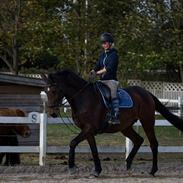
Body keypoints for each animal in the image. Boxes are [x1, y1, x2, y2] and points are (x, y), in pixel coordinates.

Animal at [42, 69, 183, 176]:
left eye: (54, 91)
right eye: (45, 91)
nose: (52, 112)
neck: (83, 98)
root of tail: (146, 93)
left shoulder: (89, 128)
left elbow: (72, 143)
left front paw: (71, 167)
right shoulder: (88, 131)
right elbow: (93, 149)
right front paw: (97, 170)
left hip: (147, 121)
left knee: (153, 143)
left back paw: (153, 170)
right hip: (125, 127)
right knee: (138, 140)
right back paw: (127, 165)